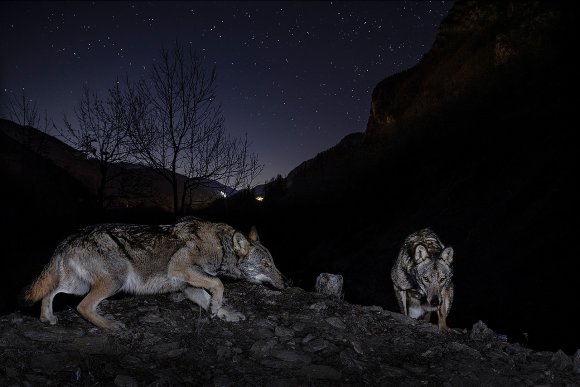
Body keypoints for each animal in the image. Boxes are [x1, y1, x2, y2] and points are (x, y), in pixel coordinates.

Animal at [24, 217, 288, 328]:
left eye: (273, 263)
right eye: (266, 265)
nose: (287, 282)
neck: (219, 245)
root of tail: (70, 237)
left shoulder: (190, 287)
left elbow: (211, 295)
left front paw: (223, 313)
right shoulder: (181, 269)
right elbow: (219, 285)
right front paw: (216, 307)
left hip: (77, 285)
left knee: (49, 293)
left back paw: (47, 318)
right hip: (114, 281)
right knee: (83, 307)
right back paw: (110, 326)